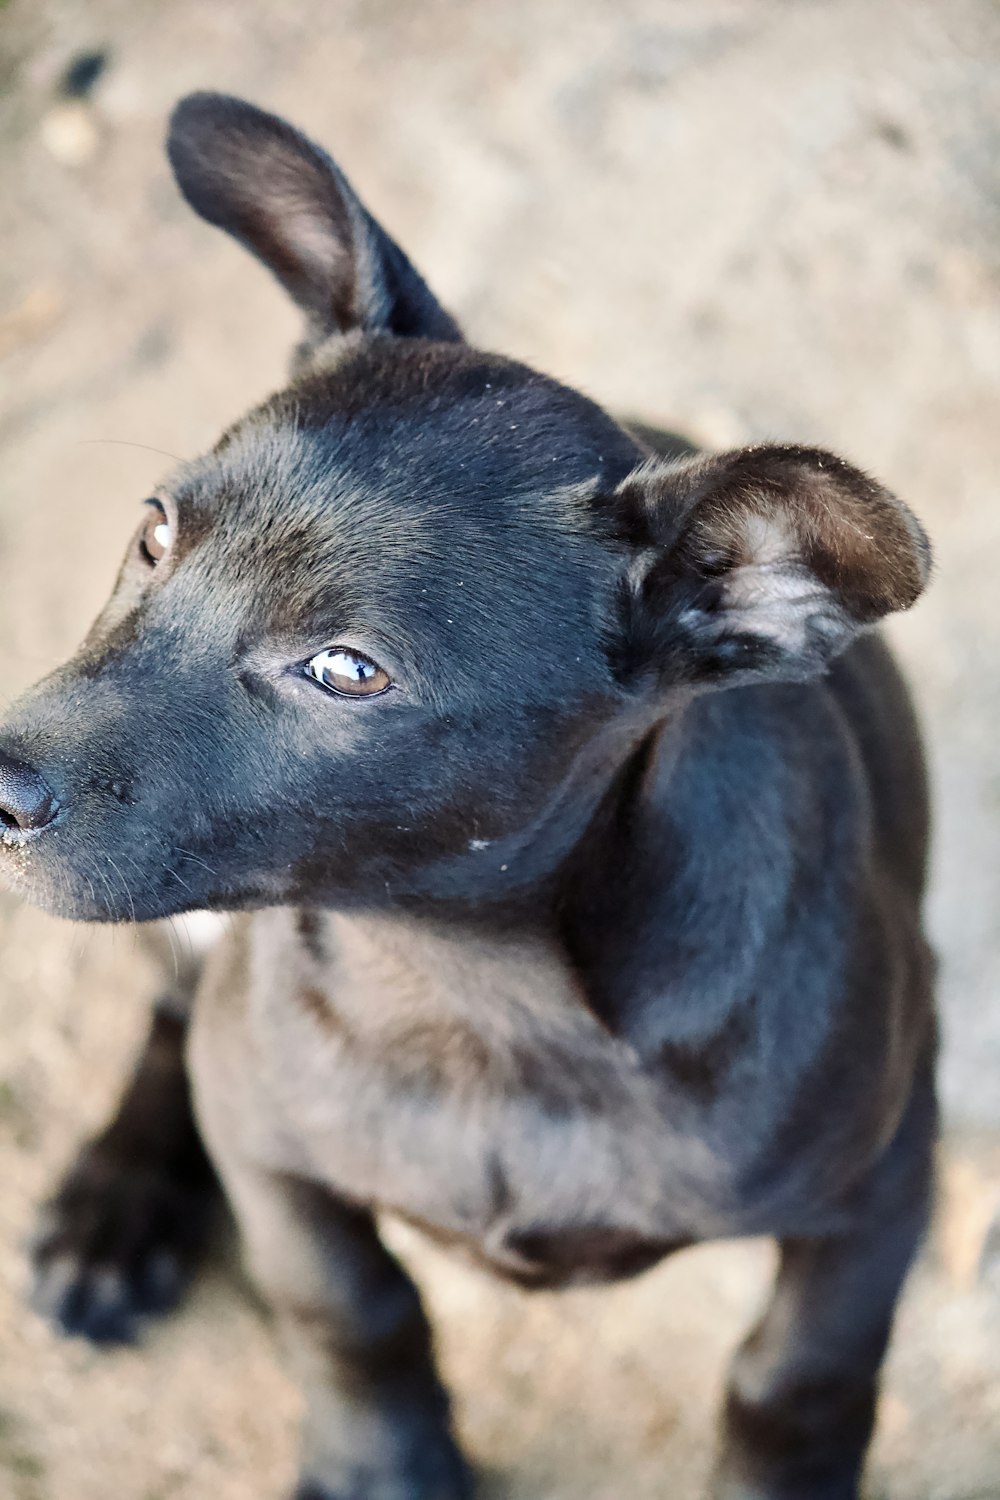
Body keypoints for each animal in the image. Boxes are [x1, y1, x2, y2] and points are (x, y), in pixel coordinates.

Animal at [1, 93, 941, 1500]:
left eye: (347, 670)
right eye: (154, 534)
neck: (471, 990)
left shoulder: (881, 1188)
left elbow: (800, 1377)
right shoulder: (269, 1144)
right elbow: (347, 1305)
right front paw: (381, 1464)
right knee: (173, 1017)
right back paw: (118, 1210)